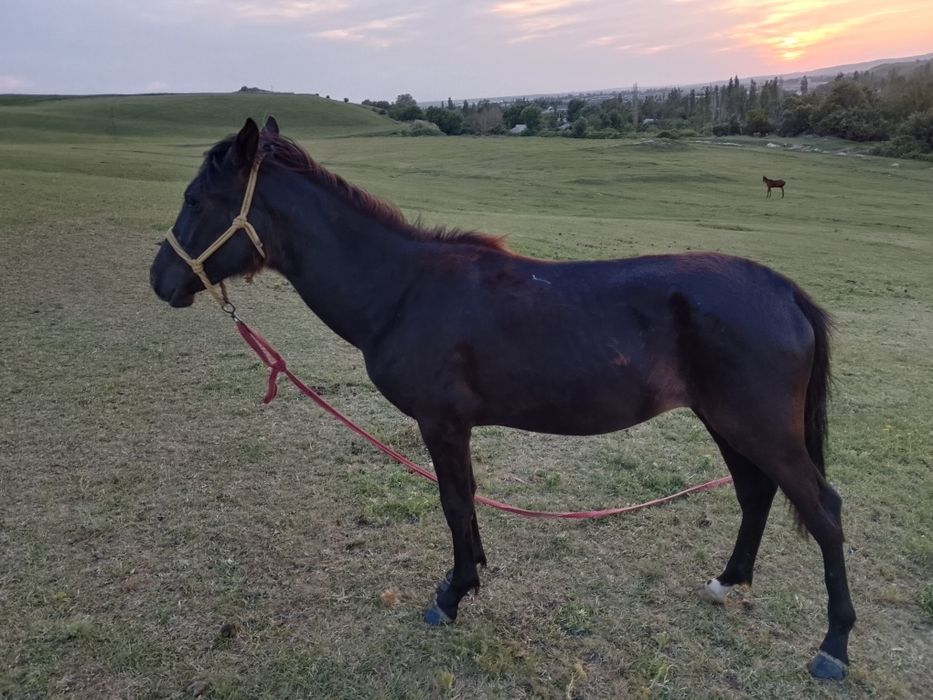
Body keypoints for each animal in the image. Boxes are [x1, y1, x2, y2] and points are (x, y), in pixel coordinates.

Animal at [150, 118, 855, 680]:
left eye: (195, 198)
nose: (160, 279)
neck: (403, 289)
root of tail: (785, 291)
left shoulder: (441, 423)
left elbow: (454, 502)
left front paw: (451, 595)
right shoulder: (455, 426)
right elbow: (466, 502)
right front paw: (472, 573)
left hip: (759, 427)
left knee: (821, 509)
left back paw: (834, 647)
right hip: (727, 422)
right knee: (755, 494)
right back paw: (727, 582)